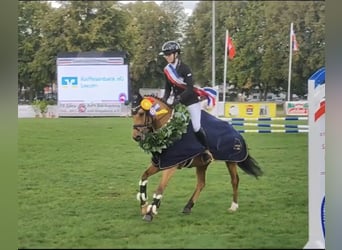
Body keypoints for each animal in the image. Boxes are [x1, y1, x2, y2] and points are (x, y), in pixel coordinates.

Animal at [132, 93, 264, 222]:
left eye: (141, 113)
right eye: (132, 114)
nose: (136, 137)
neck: (168, 131)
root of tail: (237, 133)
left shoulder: (171, 166)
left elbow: (160, 188)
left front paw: (149, 213)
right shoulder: (159, 164)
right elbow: (144, 177)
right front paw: (144, 206)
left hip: (231, 161)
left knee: (235, 180)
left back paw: (233, 206)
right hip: (202, 164)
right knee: (201, 183)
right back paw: (188, 206)